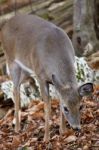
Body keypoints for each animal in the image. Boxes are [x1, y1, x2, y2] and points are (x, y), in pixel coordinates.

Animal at [0, 13, 93, 142]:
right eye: (66, 108)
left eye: (80, 107)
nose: (76, 128)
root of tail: (6, 24)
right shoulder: (40, 76)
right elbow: (47, 106)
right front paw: (46, 138)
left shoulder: (55, 81)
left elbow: (59, 99)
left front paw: (63, 131)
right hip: (12, 62)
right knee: (15, 90)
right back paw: (17, 128)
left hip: (26, 70)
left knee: (17, 88)